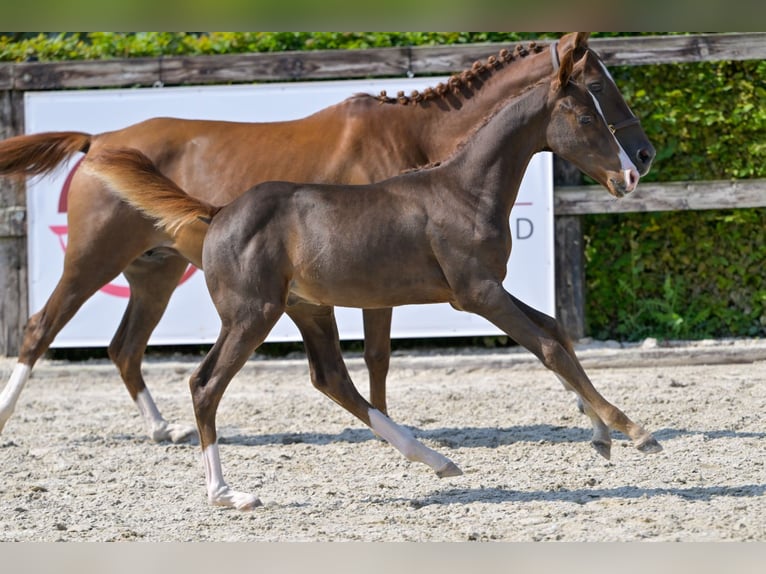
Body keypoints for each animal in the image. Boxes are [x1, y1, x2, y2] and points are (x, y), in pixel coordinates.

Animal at [1, 32, 660, 446]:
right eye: (599, 88)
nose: (641, 160)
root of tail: (99, 140)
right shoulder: (440, 288)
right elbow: (384, 354)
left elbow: (548, 333)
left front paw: (596, 422)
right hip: (94, 258)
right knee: (39, 329)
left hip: (156, 271)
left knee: (124, 347)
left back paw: (165, 429)